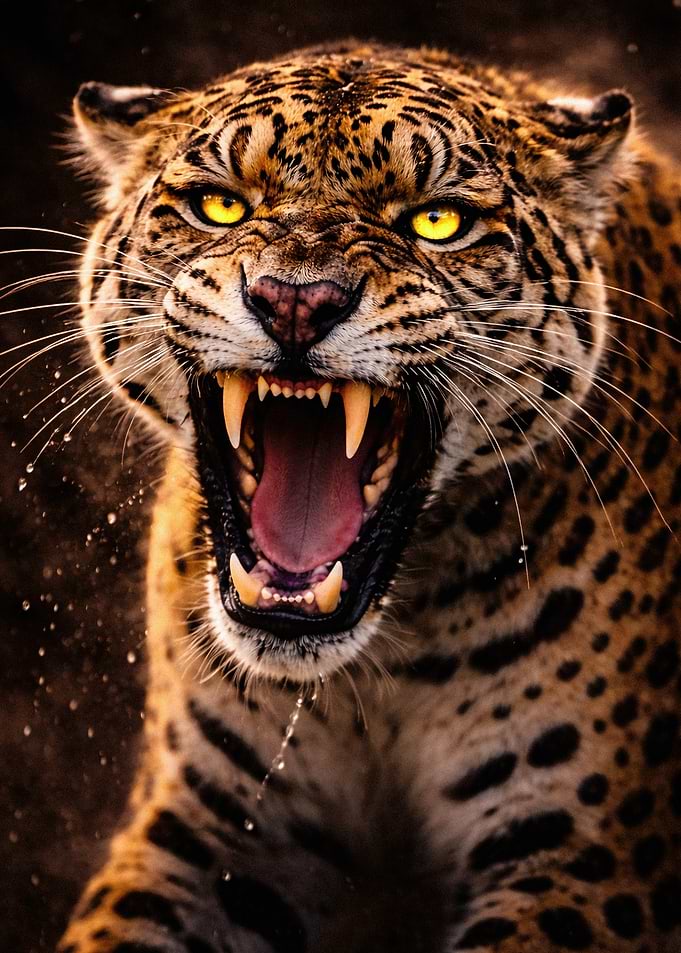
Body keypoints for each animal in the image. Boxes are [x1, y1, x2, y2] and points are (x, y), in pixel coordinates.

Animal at [54, 40, 681, 953]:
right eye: (219, 205)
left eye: (436, 222)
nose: (294, 301)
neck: (374, 675)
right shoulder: (205, 827)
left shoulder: (582, 851)